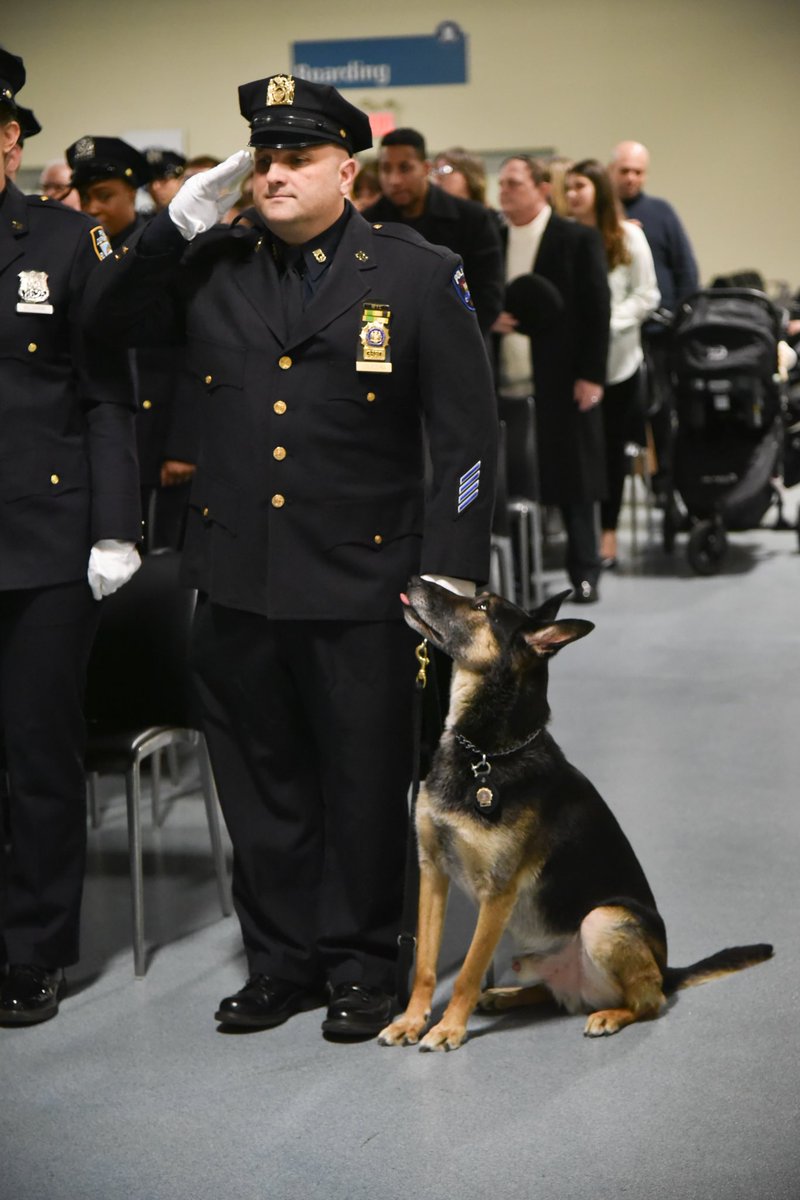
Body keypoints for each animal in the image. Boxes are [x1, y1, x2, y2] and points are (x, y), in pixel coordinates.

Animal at [378, 579, 772, 1051]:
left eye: (482, 605)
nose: (413, 581)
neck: (485, 754)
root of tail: (667, 969)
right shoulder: (433, 872)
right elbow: (425, 965)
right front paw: (411, 1020)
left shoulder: (498, 893)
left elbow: (468, 973)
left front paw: (449, 1028)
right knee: (553, 994)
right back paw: (507, 995)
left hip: (604, 921)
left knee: (650, 1001)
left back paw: (609, 1015)